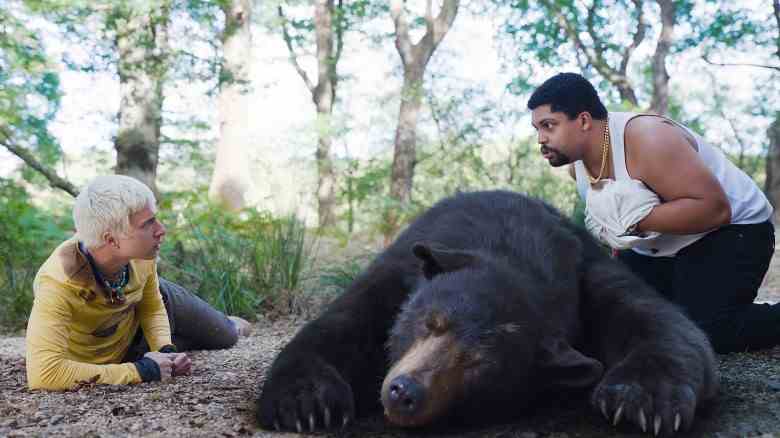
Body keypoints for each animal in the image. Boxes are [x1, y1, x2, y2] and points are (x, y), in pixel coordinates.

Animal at [258, 191, 720, 434]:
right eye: (430, 323)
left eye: (479, 365)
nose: (405, 392)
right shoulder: (398, 270)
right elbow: (340, 326)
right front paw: (308, 403)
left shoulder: (588, 271)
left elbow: (663, 321)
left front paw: (641, 399)